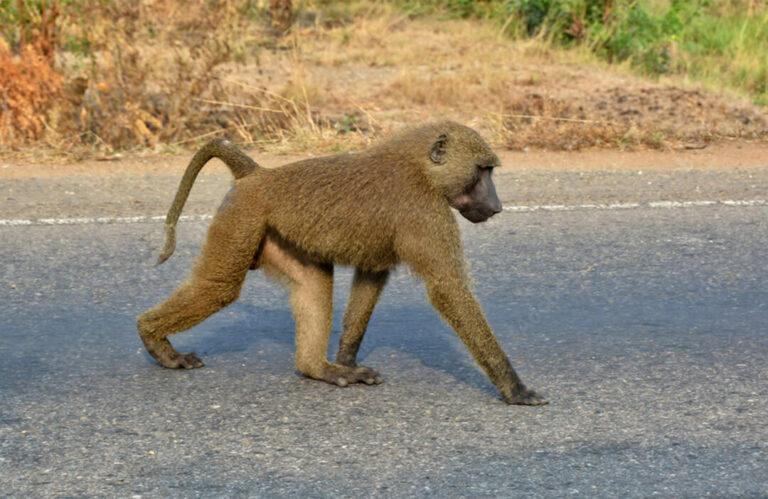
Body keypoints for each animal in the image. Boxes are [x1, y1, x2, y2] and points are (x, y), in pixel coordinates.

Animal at [137, 122, 547, 405]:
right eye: (482, 171)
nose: (497, 206)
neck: (420, 167)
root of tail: (259, 175)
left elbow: (371, 278)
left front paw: (346, 359)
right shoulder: (425, 212)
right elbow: (448, 289)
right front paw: (516, 388)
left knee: (313, 284)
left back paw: (319, 369)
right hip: (243, 217)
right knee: (219, 288)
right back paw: (154, 339)